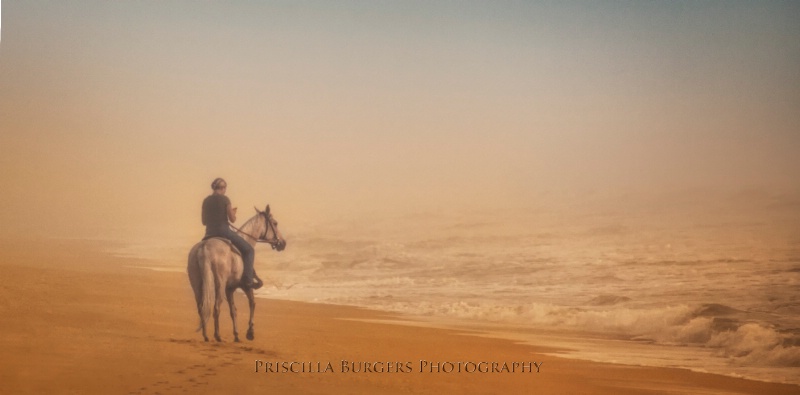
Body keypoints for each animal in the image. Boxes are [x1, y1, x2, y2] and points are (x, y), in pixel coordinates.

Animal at [188, 206, 288, 342]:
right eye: (275, 223)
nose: (283, 243)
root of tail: (204, 248)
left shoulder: (229, 289)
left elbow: (233, 311)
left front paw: (236, 334)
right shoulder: (246, 286)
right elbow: (252, 303)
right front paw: (250, 332)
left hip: (197, 286)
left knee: (201, 308)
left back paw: (206, 335)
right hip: (219, 284)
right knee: (216, 307)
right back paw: (217, 335)